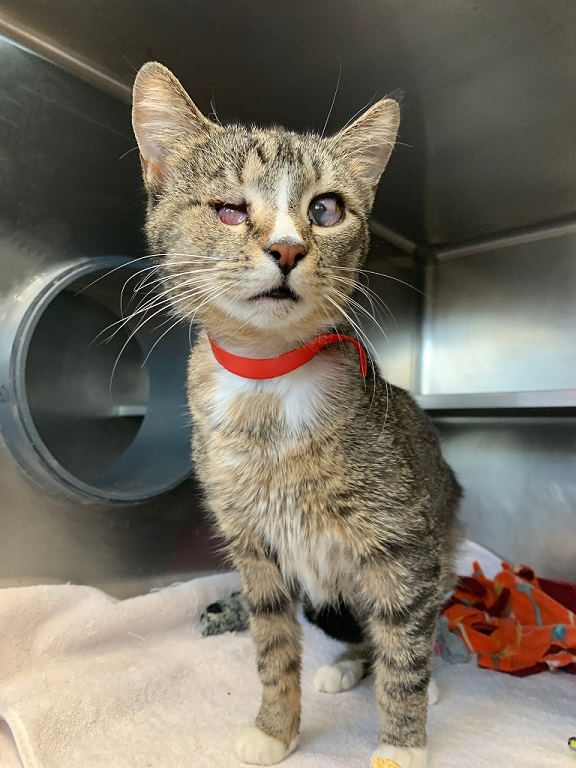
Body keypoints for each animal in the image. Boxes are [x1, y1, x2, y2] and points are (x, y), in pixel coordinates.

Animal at [132, 61, 464, 768]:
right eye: (230, 210)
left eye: (325, 209)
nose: (286, 250)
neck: (269, 383)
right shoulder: (254, 549)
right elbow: (273, 648)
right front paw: (274, 729)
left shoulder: (403, 544)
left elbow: (404, 649)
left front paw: (402, 744)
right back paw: (343, 665)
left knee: (409, 624)